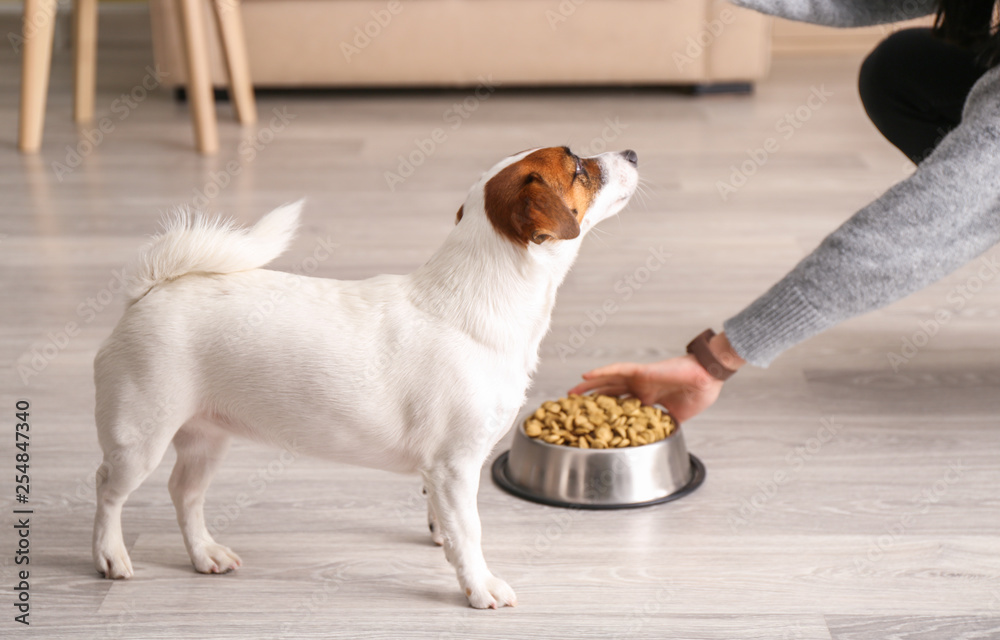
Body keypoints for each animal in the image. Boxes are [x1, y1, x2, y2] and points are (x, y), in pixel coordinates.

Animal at [94, 146, 640, 608]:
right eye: (579, 167)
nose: (632, 153)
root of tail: (150, 291)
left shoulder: (441, 473)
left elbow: (445, 521)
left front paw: (442, 540)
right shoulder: (456, 467)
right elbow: (469, 532)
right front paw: (479, 586)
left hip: (207, 438)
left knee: (184, 493)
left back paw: (205, 553)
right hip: (140, 438)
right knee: (108, 489)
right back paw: (110, 554)